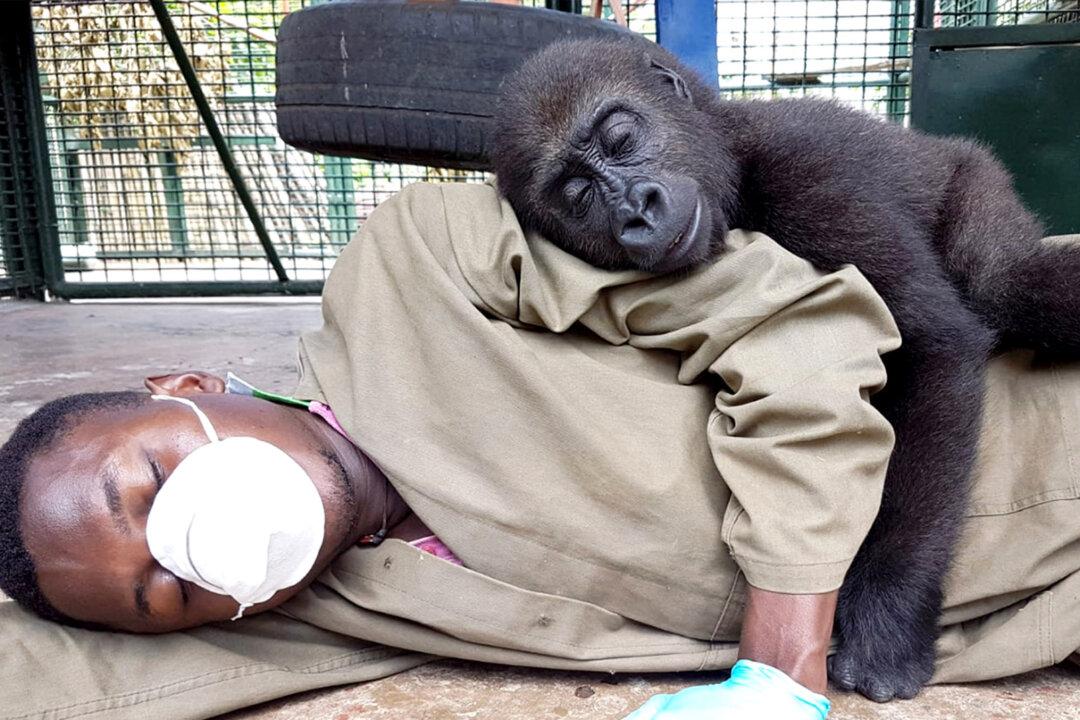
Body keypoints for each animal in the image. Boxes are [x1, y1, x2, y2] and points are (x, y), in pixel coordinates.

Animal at [490, 36, 1080, 703]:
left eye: (620, 139)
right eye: (579, 195)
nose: (637, 209)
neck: (733, 161)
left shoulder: (807, 172)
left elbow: (936, 347)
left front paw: (888, 614)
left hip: (975, 180)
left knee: (1005, 281)